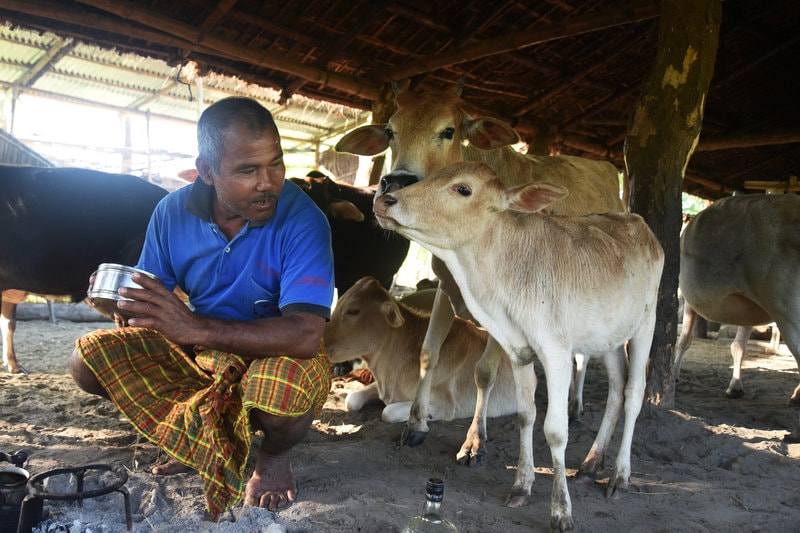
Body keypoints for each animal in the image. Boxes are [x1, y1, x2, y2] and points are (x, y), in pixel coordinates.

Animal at [334, 83, 620, 462]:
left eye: (448, 130)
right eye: (390, 131)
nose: (395, 183)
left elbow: (484, 372)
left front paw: (474, 440)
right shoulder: (444, 288)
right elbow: (428, 353)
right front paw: (415, 425)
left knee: (587, 359)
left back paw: (576, 406)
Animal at [676, 193, 800, 438]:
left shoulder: (687, 298)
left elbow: (684, 339)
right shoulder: (748, 311)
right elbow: (738, 346)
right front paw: (735, 387)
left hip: (787, 312)